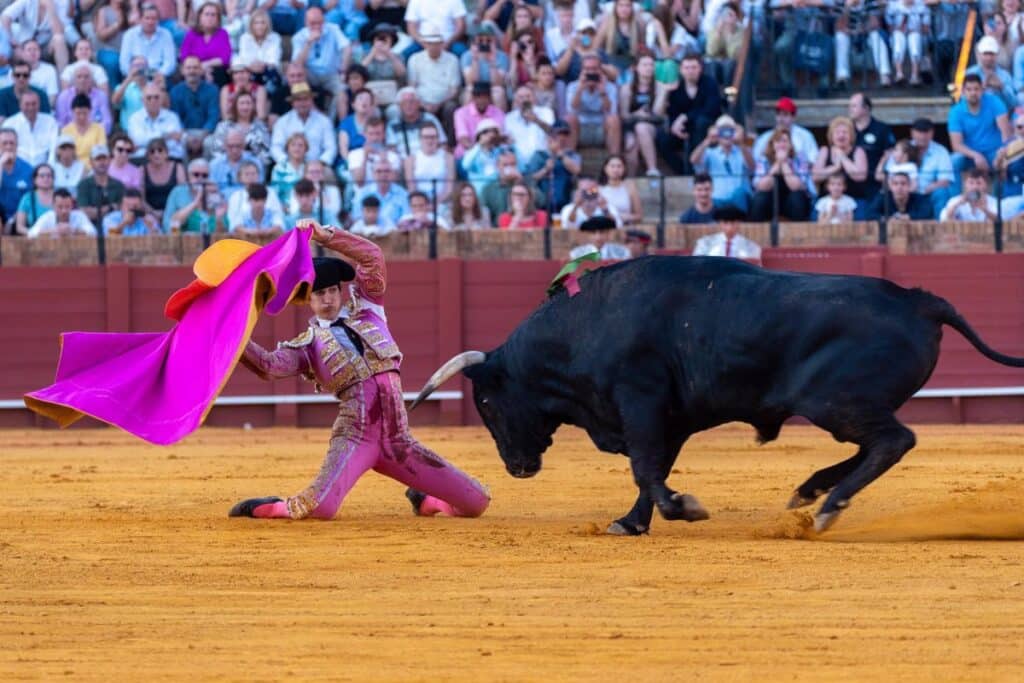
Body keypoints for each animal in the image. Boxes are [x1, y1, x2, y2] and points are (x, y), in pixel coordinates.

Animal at [409, 255, 1024, 532]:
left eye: (486, 403)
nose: (516, 468)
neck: (585, 324)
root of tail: (919, 299)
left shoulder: (640, 402)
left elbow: (645, 467)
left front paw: (682, 508)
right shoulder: (671, 418)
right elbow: (652, 467)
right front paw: (633, 522)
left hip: (834, 402)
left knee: (893, 441)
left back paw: (827, 507)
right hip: (842, 407)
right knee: (876, 444)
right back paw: (810, 492)